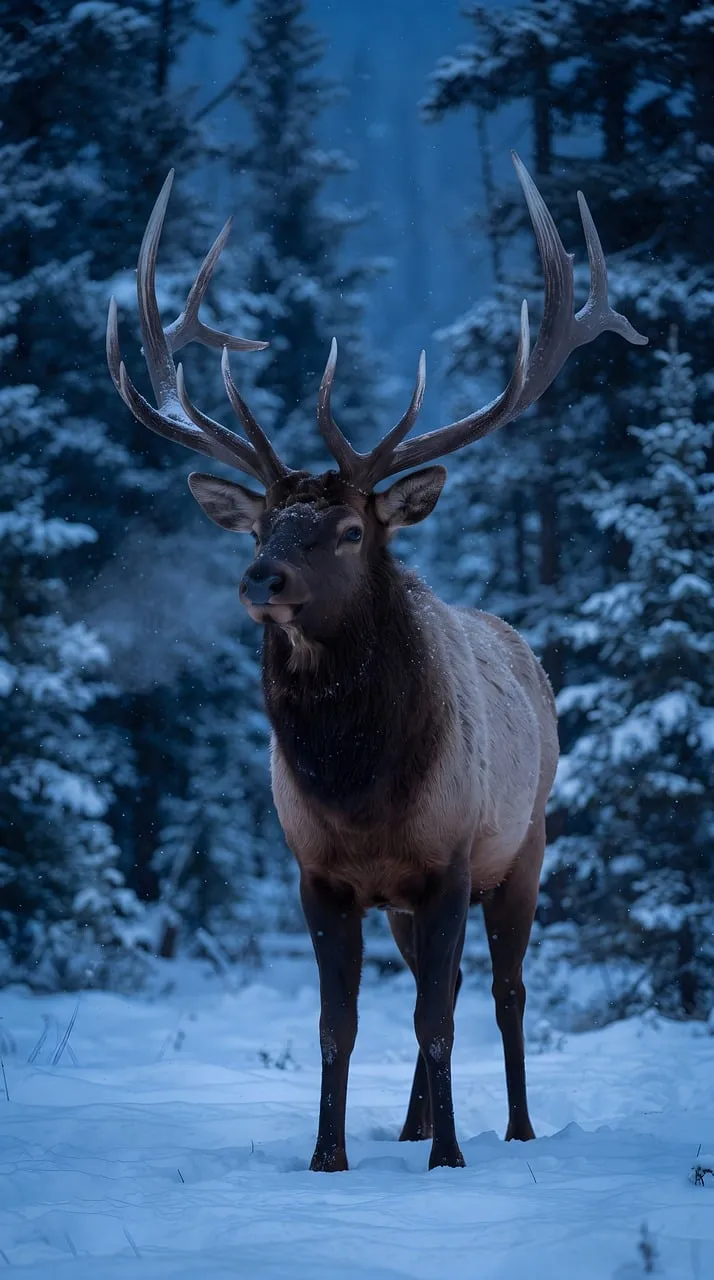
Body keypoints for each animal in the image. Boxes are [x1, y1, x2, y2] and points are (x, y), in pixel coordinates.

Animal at [107, 152, 647, 1173]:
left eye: (351, 530)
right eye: (267, 524)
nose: (261, 577)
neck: (359, 788)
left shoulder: (449, 860)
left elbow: (440, 1017)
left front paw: (451, 1161)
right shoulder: (320, 875)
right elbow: (338, 1024)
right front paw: (331, 1157)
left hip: (525, 846)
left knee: (503, 992)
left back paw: (512, 1126)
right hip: (406, 902)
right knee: (441, 990)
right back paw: (413, 1120)